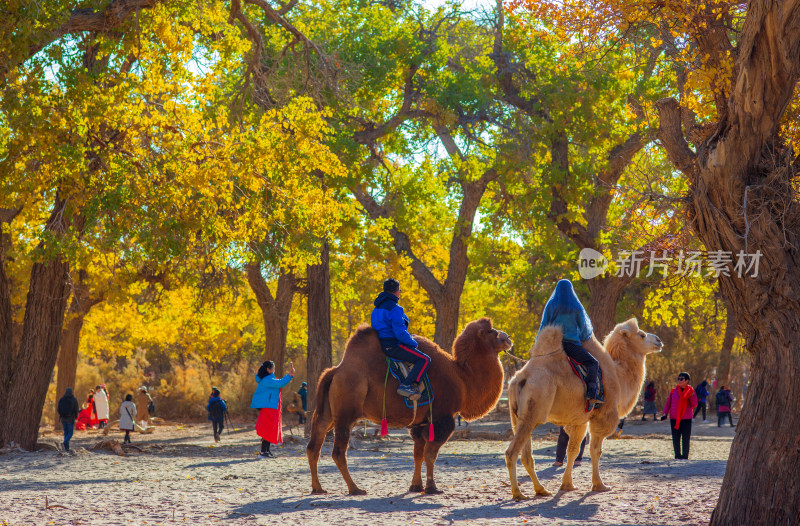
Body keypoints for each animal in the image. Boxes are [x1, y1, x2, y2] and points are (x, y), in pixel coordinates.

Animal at [306, 320, 512, 498]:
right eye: (492, 331)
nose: (509, 338)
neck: (462, 379)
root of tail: (335, 371)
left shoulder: (420, 423)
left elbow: (418, 454)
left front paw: (415, 486)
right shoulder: (442, 419)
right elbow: (430, 454)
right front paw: (431, 487)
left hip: (327, 414)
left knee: (313, 446)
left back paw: (318, 488)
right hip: (345, 414)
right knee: (338, 452)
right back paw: (355, 489)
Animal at [506, 320, 664, 502]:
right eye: (642, 335)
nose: (658, 340)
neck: (619, 375)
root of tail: (520, 378)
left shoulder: (579, 420)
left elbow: (573, 450)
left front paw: (567, 484)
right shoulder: (602, 417)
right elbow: (596, 451)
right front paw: (599, 485)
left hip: (518, 417)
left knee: (526, 456)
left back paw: (541, 489)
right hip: (532, 413)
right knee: (512, 453)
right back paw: (518, 493)